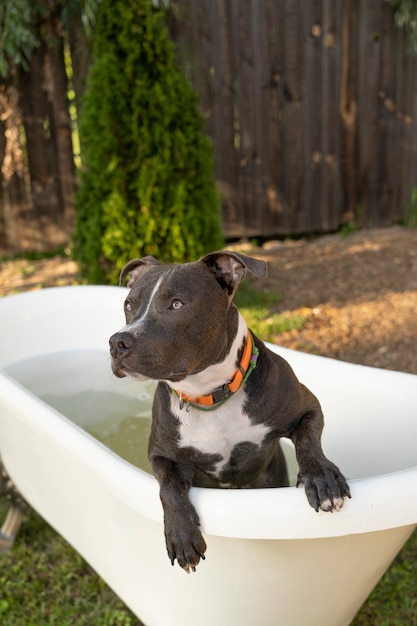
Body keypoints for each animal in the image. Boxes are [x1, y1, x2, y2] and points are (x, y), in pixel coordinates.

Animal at [109, 250, 350, 572]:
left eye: (176, 304)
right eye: (128, 304)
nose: (117, 342)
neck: (209, 395)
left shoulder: (307, 408)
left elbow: (308, 442)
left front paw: (322, 478)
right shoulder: (161, 453)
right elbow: (169, 487)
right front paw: (181, 535)